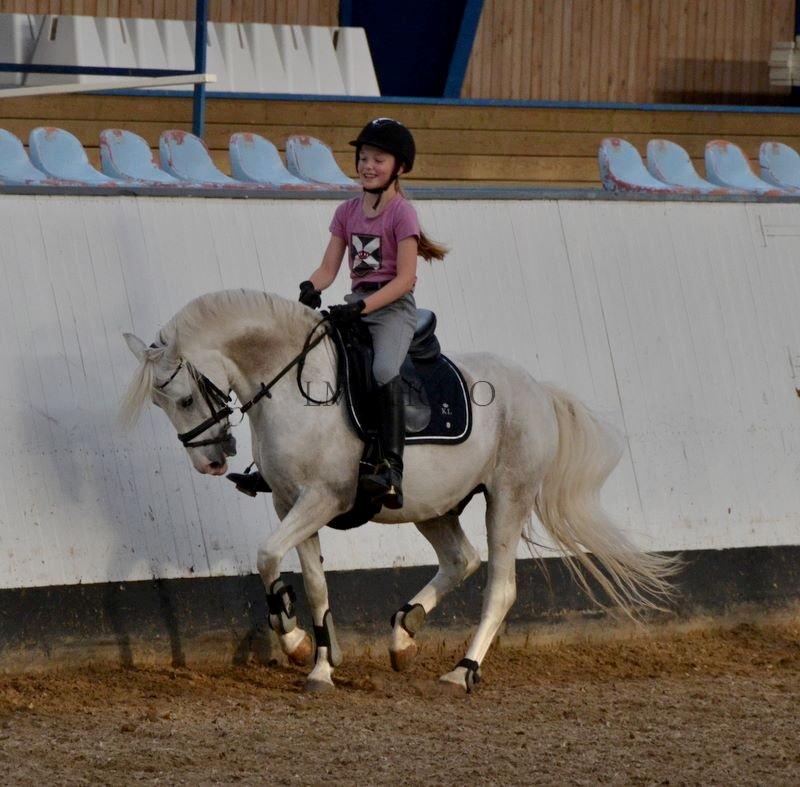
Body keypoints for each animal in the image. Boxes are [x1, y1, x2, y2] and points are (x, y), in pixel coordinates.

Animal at [122, 290, 680, 688]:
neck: (294, 387)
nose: (211, 461)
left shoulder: (322, 499)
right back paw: (404, 634)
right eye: (161, 403)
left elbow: (266, 555)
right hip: (433, 505)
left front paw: (293, 638)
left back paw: (461, 672)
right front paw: (321, 663)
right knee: (461, 560)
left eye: (185, 397)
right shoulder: (290, 503)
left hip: (508, 497)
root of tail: (535, 388)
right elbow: (313, 581)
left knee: (499, 585)